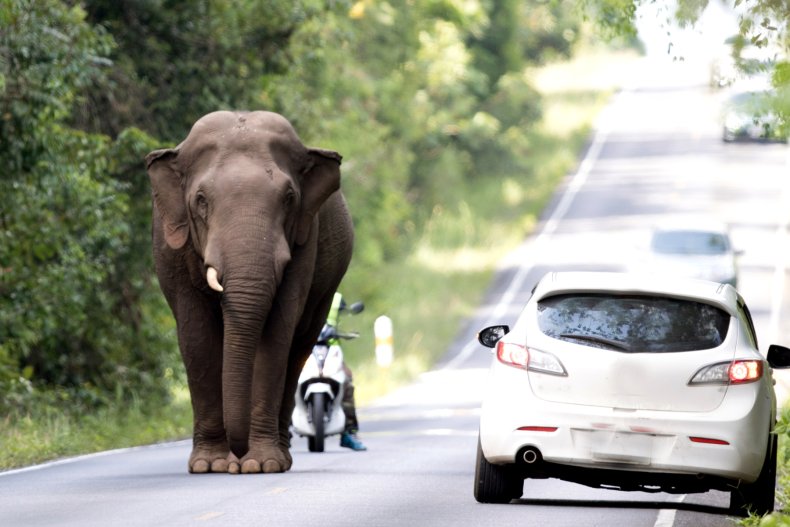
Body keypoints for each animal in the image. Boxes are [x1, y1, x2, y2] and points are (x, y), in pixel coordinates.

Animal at [146, 111, 356, 474]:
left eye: (289, 198)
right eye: (201, 200)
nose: (238, 455)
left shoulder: (306, 239)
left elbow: (276, 335)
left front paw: (262, 465)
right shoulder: (170, 246)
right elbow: (197, 337)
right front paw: (208, 465)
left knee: (298, 349)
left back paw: (278, 458)